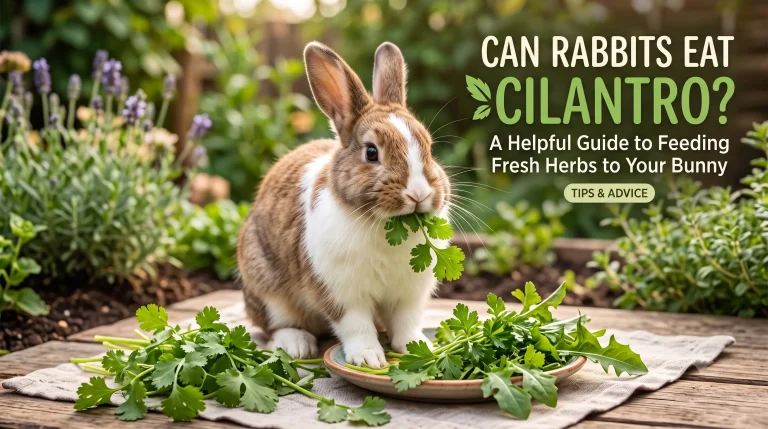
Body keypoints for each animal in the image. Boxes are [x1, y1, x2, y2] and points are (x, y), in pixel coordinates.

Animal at [237, 41, 451, 369]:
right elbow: (355, 325)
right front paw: (369, 359)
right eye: (372, 152)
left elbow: (406, 323)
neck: (385, 226)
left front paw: (418, 347)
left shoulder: (409, 294)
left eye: (429, 147)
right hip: (266, 286)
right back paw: (297, 345)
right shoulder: (341, 293)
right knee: (274, 326)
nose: (418, 194)